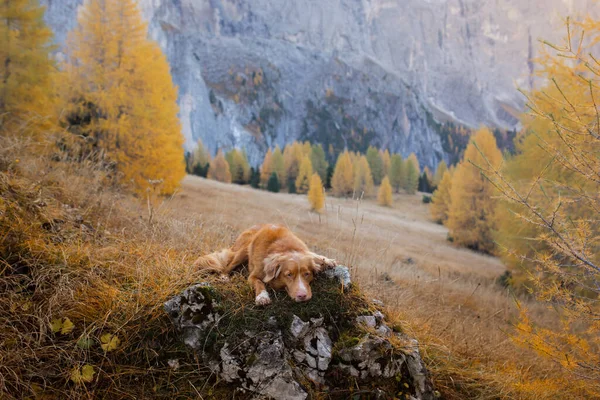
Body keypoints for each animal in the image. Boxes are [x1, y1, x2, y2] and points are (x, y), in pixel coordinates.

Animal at [197, 223, 338, 304]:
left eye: (307, 274)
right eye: (288, 275)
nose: (302, 295)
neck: (286, 248)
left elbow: (313, 255)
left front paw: (327, 260)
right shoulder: (253, 276)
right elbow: (259, 283)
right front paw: (262, 297)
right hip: (244, 249)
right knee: (227, 266)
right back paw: (224, 276)